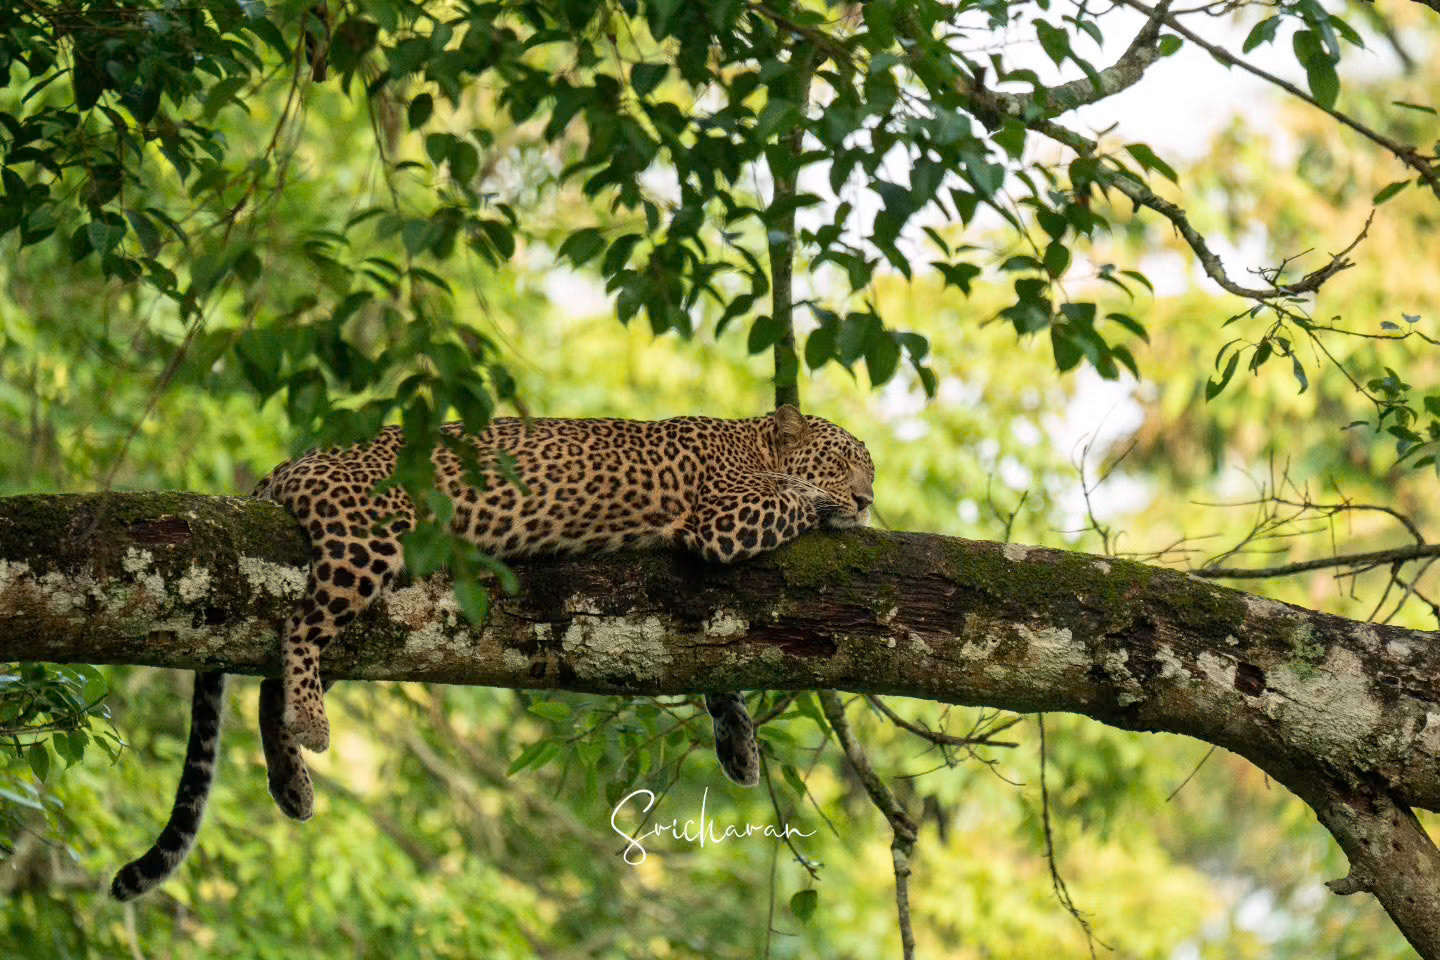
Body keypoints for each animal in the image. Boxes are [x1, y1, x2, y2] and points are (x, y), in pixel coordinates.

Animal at [111, 405, 875, 899]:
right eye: (844, 463)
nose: (869, 499)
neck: (754, 441)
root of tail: (296, 461)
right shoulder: (725, 519)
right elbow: (793, 499)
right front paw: (831, 504)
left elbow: (721, 666)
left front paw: (741, 748)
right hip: (365, 542)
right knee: (299, 629)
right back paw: (311, 721)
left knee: (273, 672)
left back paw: (292, 782)